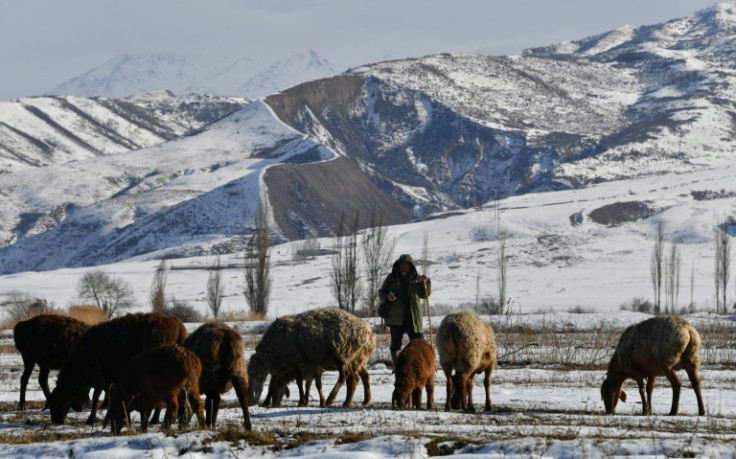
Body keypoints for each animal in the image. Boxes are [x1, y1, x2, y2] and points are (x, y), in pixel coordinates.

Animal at [47, 310, 187, 426]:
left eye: (58, 402)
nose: (56, 421)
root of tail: (178, 325)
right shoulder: (112, 377)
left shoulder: (99, 377)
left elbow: (97, 397)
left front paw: (91, 419)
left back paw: (155, 419)